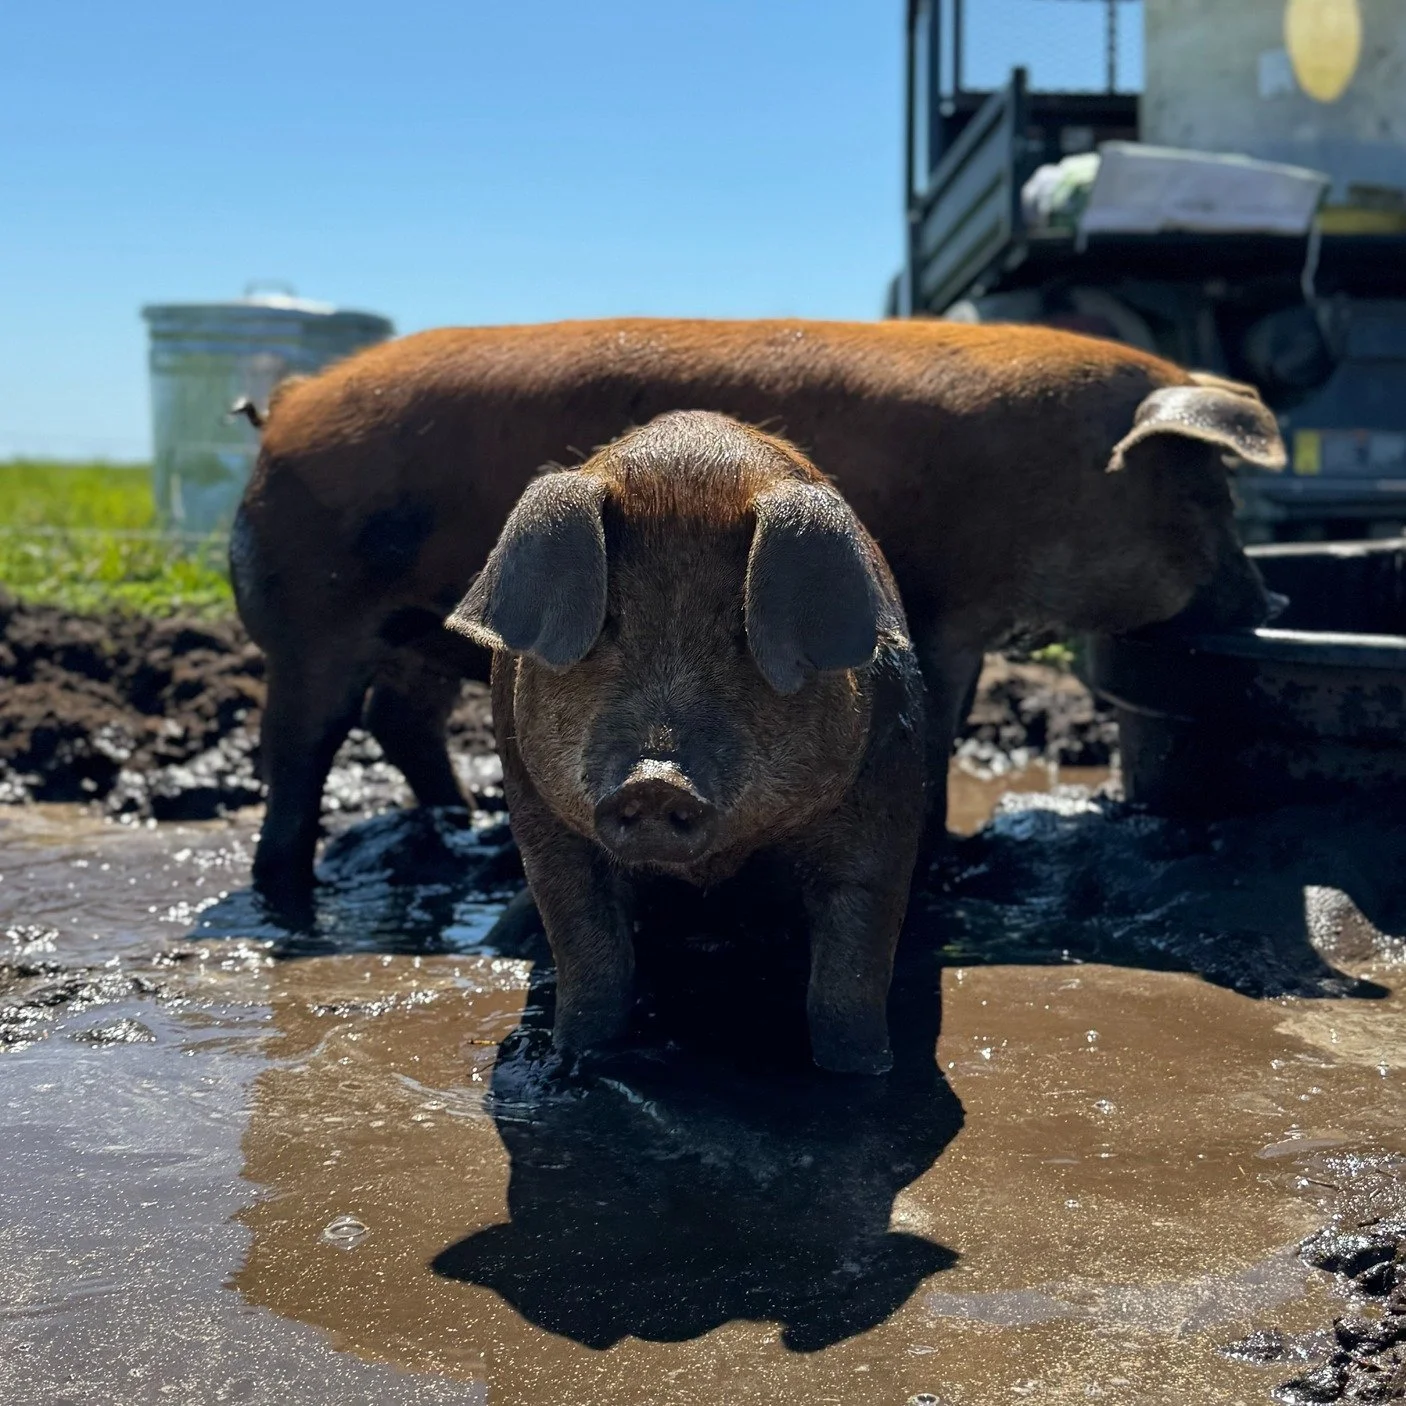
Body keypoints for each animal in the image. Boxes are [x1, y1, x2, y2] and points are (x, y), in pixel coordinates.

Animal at [231, 317, 1285, 902]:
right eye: (1209, 495)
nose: (1267, 595)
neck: (1050, 480)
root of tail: (286, 407)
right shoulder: (946, 615)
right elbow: (941, 733)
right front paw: (944, 858)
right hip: (310, 618)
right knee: (298, 745)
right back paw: (286, 888)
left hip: (416, 632)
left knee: (398, 720)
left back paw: (461, 828)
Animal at [445, 411, 926, 1075]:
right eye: (610, 622)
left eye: (739, 631)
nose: (656, 779)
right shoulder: (535, 810)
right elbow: (586, 952)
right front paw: (573, 1059)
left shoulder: (885, 806)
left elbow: (849, 977)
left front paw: (862, 1073)